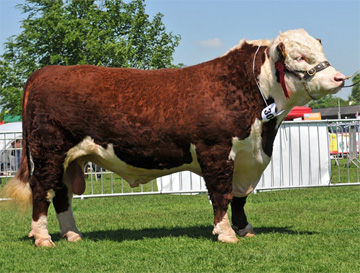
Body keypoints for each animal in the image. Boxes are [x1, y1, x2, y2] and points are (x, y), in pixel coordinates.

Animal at [3, 28, 346, 245]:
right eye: (299, 57)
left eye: (320, 50)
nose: (339, 78)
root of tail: (47, 71)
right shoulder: (216, 151)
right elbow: (221, 194)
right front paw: (226, 234)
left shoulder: (249, 156)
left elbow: (240, 197)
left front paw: (245, 229)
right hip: (49, 152)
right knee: (41, 192)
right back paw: (43, 238)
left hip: (72, 158)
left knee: (61, 194)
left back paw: (72, 235)